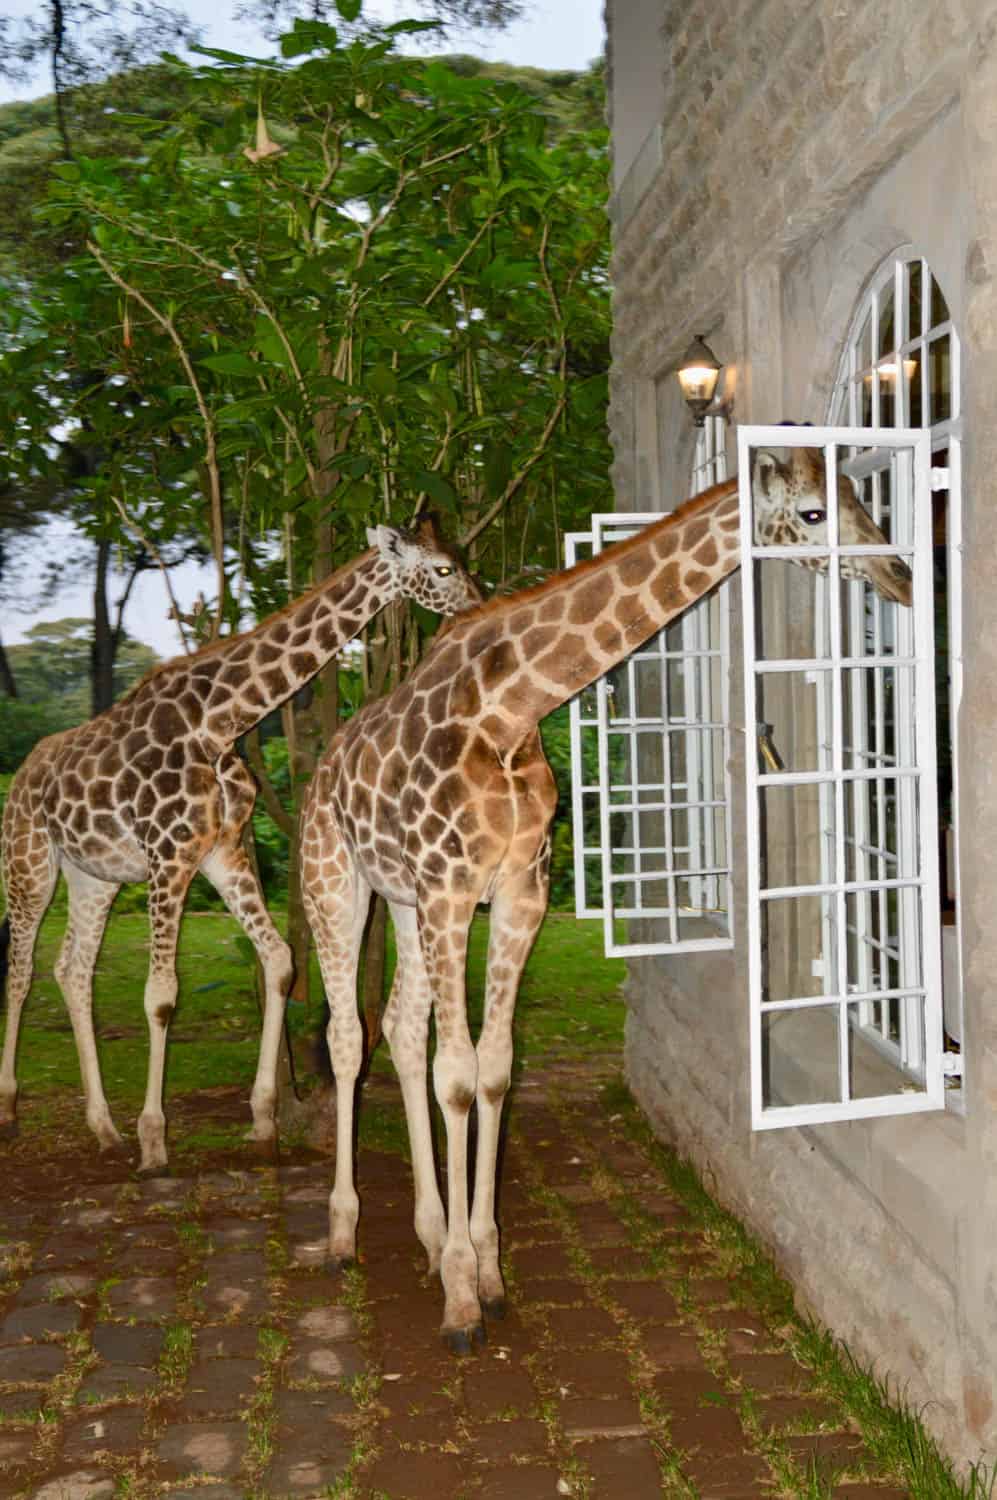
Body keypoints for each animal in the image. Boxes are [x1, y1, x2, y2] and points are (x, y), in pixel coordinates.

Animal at [0, 517, 480, 1173]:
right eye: (442, 568)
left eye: (460, 558)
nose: (478, 605)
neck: (221, 720)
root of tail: (23, 771)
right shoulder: (169, 854)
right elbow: (161, 996)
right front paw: (156, 1140)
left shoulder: (220, 853)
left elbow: (278, 961)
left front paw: (264, 1118)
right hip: (29, 860)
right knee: (20, 969)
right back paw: (11, 1109)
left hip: (93, 874)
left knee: (72, 970)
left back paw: (103, 1126)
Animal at [298, 447, 913, 1351]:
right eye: (810, 514)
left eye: (856, 496)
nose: (899, 573)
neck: (509, 712)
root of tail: (323, 764)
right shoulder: (453, 893)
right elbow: (456, 1076)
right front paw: (459, 1303)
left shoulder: (515, 893)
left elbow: (492, 1071)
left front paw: (484, 1270)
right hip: (335, 882)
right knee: (350, 1036)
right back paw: (344, 1234)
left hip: (402, 899)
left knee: (404, 1030)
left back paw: (426, 1230)